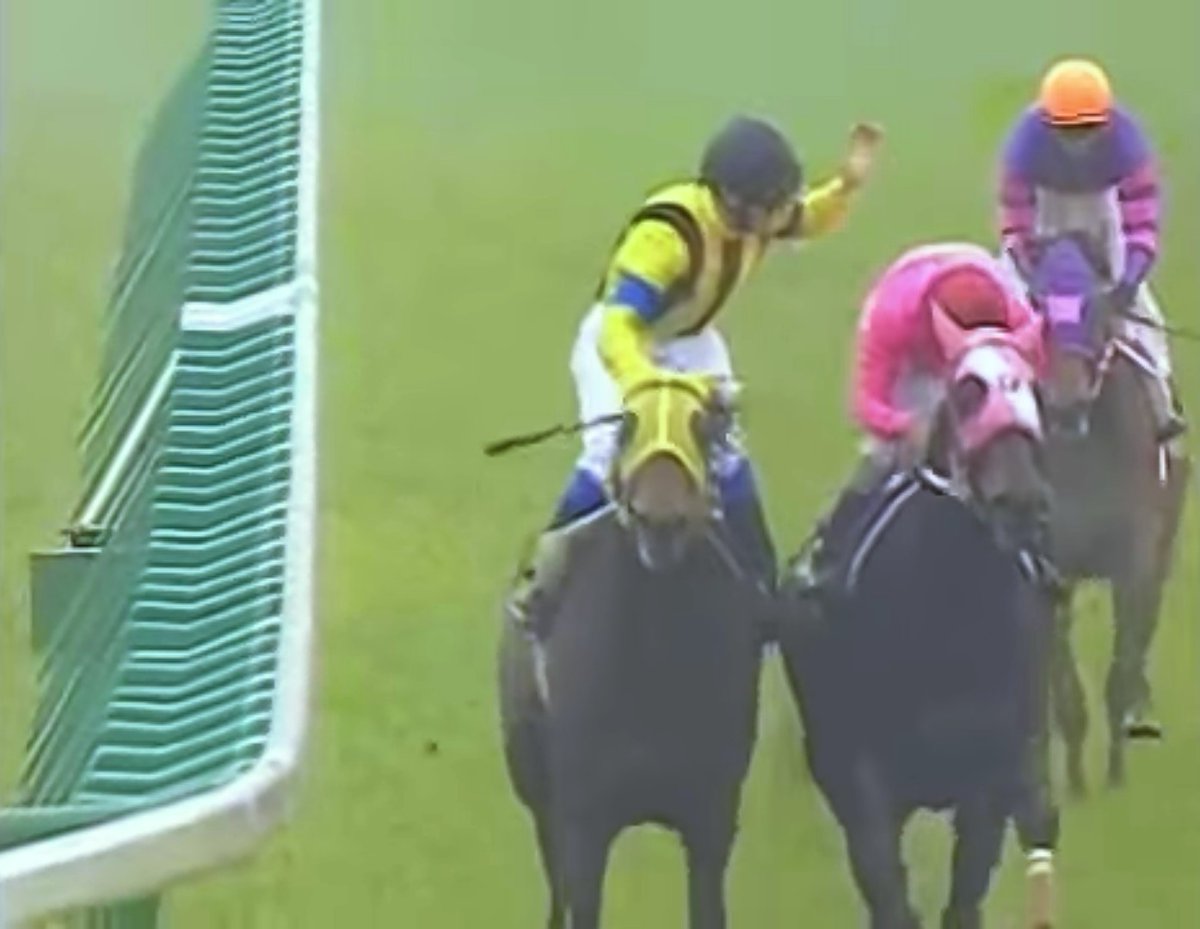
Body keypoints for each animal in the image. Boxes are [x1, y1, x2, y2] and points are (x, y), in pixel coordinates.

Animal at [497, 378, 770, 929]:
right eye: (626, 423)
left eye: (700, 425)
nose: (660, 518)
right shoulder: (584, 824)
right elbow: (577, 899)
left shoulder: (711, 821)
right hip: (534, 785)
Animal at [778, 321, 1060, 929]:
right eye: (966, 390)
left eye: (1033, 389)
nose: (1020, 500)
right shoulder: (861, 782)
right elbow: (889, 893)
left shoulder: (989, 780)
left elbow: (964, 898)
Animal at [1027, 232, 1191, 793]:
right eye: (1037, 307)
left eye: (1097, 309)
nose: (1064, 404)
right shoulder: (1050, 566)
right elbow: (1064, 686)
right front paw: (1075, 778)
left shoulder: (1135, 560)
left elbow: (1121, 667)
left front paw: (1116, 769)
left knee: (1145, 629)